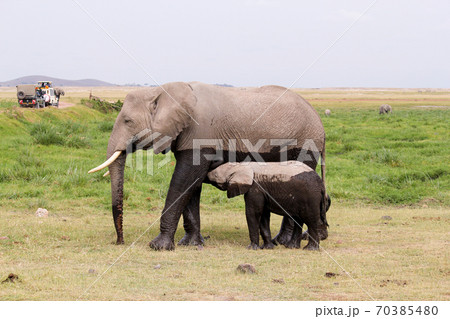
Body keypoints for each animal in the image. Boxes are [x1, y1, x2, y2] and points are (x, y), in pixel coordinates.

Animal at [89, 83, 326, 252]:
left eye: (128, 121)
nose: (120, 242)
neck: (162, 91)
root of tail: (320, 124)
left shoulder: (199, 134)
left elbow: (184, 180)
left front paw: (158, 246)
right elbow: (191, 184)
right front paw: (191, 244)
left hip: (305, 144)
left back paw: (285, 243)